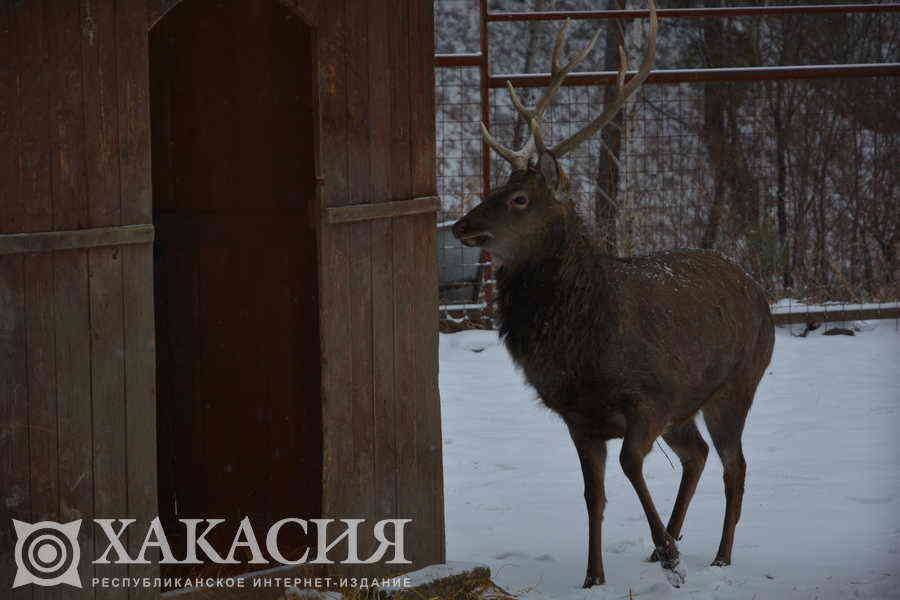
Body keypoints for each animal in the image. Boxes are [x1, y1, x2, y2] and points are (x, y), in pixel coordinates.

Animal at [454, 0, 776, 588]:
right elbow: (593, 495)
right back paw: (668, 543)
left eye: (518, 198)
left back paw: (718, 555)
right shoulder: (579, 418)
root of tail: (758, 290)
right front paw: (594, 577)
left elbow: (629, 467)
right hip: (689, 405)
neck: (585, 347)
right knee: (697, 455)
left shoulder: (649, 397)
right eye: (497, 188)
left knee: (734, 464)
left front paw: (669, 555)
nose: (461, 225)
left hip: (737, 383)